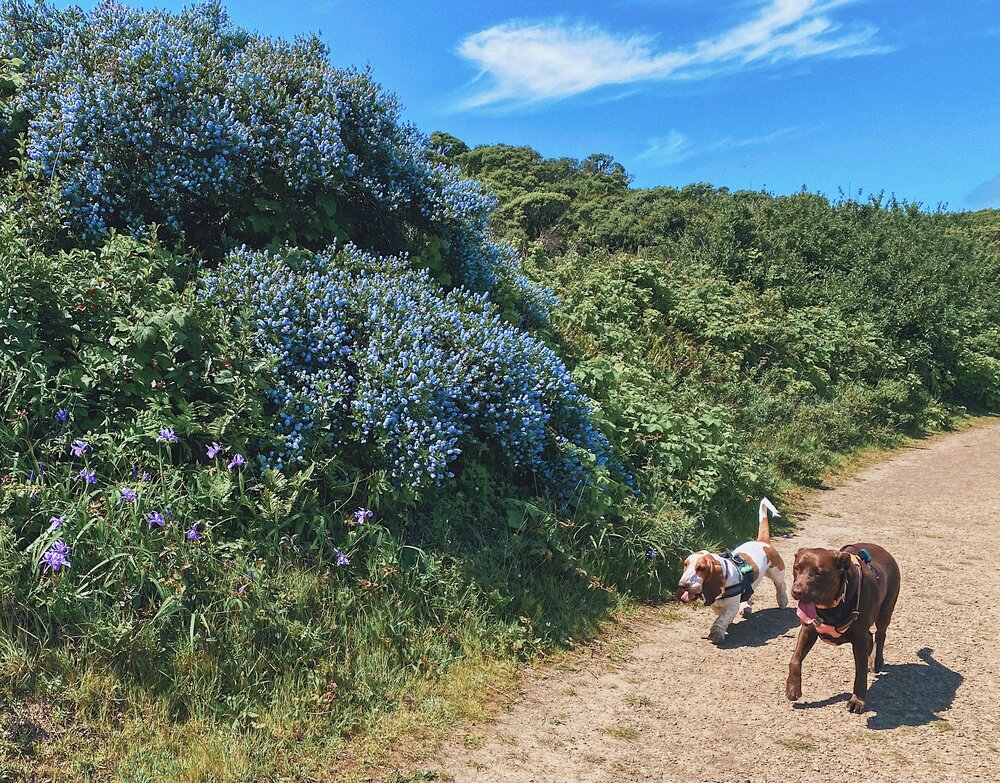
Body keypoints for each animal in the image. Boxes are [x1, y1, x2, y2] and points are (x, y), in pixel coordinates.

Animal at [680, 500, 788, 648]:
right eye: (686, 564)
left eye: (701, 568)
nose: (682, 585)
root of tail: (762, 541)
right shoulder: (716, 602)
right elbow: (720, 613)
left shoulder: (731, 605)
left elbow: (722, 618)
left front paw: (717, 633)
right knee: (749, 593)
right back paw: (747, 606)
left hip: (776, 572)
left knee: (781, 586)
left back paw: (782, 601)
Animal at [784, 544, 904, 712]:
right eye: (796, 568)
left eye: (818, 572)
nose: (797, 591)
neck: (833, 603)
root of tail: (884, 551)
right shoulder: (808, 629)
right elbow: (795, 659)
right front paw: (793, 688)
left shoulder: (859, 640)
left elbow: (860, 673)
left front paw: (858, 700)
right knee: (870, 636)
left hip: (885, 610)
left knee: (880, 634)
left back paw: (876, 660)